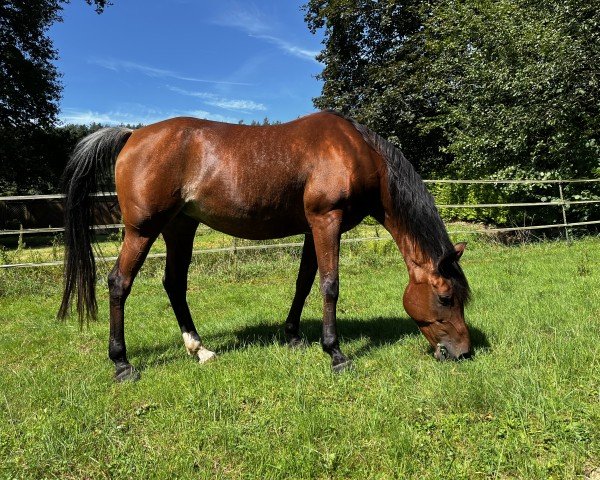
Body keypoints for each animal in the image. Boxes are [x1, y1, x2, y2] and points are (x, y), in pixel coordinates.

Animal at [59, 110, 474, 380]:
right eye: (445, 297)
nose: (464, 352)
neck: (355, 151)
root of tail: (132, 135)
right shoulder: (327, 220)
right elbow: (330, 285)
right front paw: (335, 353)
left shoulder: (313, 227)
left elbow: (304, 283)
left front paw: (294, 337)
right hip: (142, 229)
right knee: (119, 283)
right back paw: (122, 363)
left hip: (180, 226)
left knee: (174, 283)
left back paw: (200, 349)